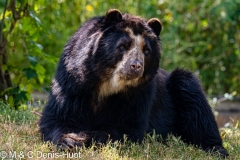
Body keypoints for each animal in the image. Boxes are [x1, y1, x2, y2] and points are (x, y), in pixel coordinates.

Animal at [39, 8, 229, 156]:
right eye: (123, 46)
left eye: (146, 51)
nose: (136, 66)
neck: (107, 83)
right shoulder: (72, 80)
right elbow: (57, 116)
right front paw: (69, 139)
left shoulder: (139, 93)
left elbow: (126, 127)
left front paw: (84, 136)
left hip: (180, 85)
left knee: (195, 102)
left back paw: (215, 149)